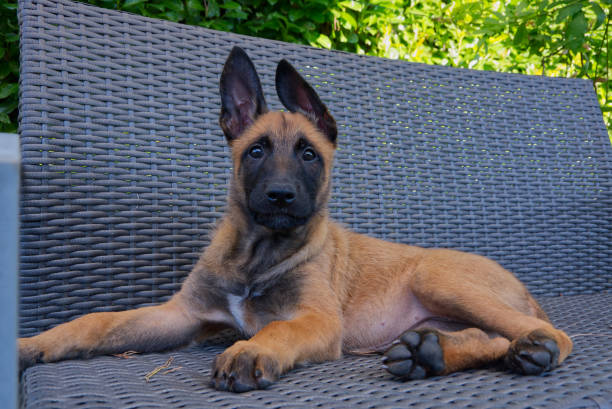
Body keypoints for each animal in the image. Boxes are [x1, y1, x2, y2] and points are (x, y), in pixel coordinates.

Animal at [20, 46, 572, 390]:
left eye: (309, 155)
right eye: (256, 151)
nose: (281, 197)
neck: (257, 254)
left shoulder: (318, 320)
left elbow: (276, 331)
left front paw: (249, 353)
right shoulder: (180, 315)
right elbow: (97, 322)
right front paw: (33, 344)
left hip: (438, 277)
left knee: (548, 335)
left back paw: (517, 352)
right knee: (496, 337)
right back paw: (430, 353)